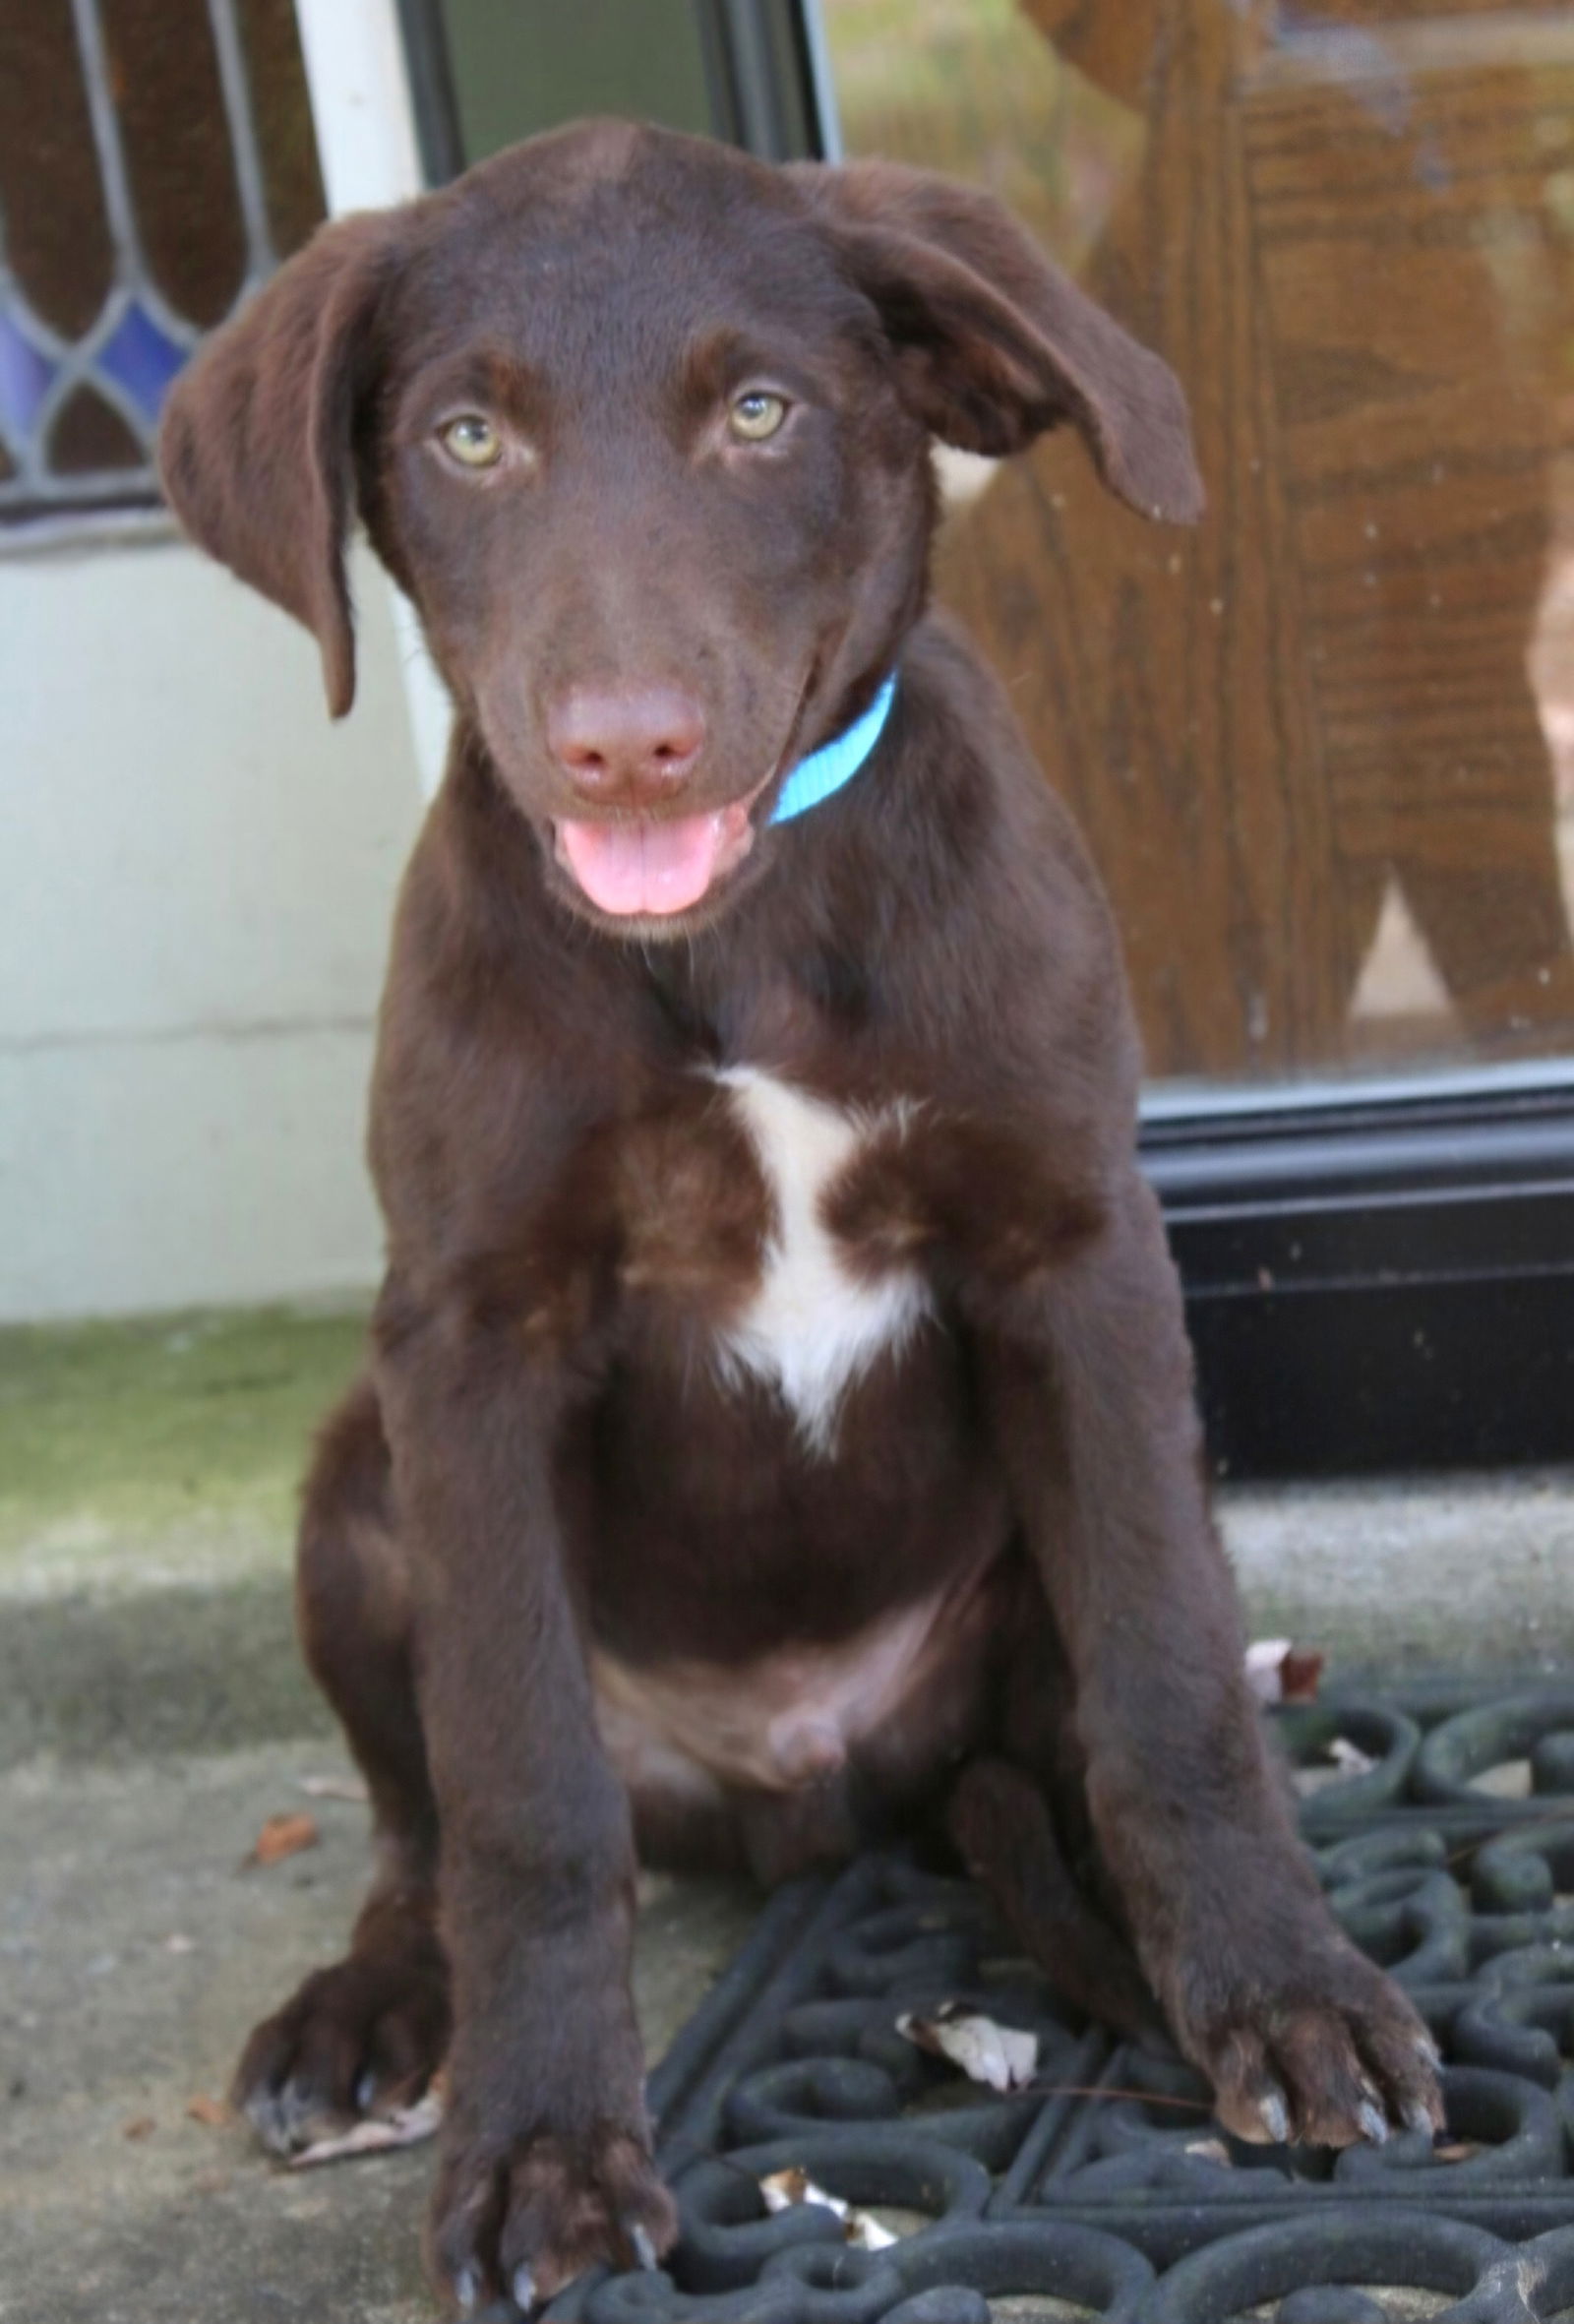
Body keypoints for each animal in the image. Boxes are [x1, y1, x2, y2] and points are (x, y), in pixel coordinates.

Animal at [158, 117, 1431, 2314]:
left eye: (759, 413)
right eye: (468, 436)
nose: (622, 741)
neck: (733, 937)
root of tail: (804, 1798)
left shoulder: (1074, 1251)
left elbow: (1171, 1682)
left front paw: (1284, 1991)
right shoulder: (468, 1340)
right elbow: (519, 1797)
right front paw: (542, 2144)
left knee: (1090, 1705)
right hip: (355, 1475)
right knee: (418, 1826)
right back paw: (373, 2010)